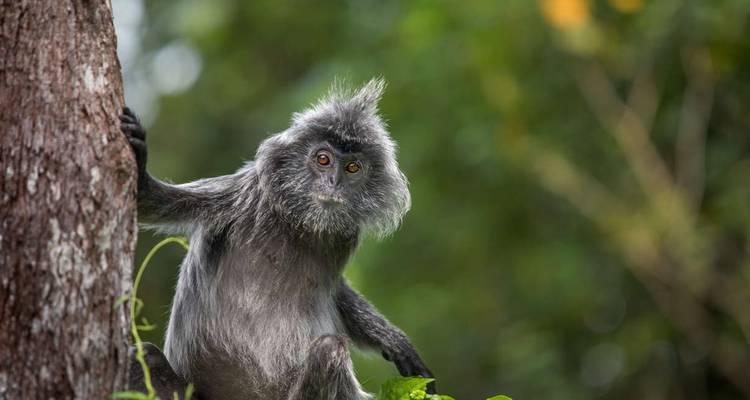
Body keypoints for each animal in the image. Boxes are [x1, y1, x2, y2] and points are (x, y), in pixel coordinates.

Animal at [121, 79, 435, 400]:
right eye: (323, 159)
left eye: (352, 168)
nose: (333, 183)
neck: (298, 225)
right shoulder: (245, 193)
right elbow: (148, 203)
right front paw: (141, 174)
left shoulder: (345, 235)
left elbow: (337, 291)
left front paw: (393, 339)